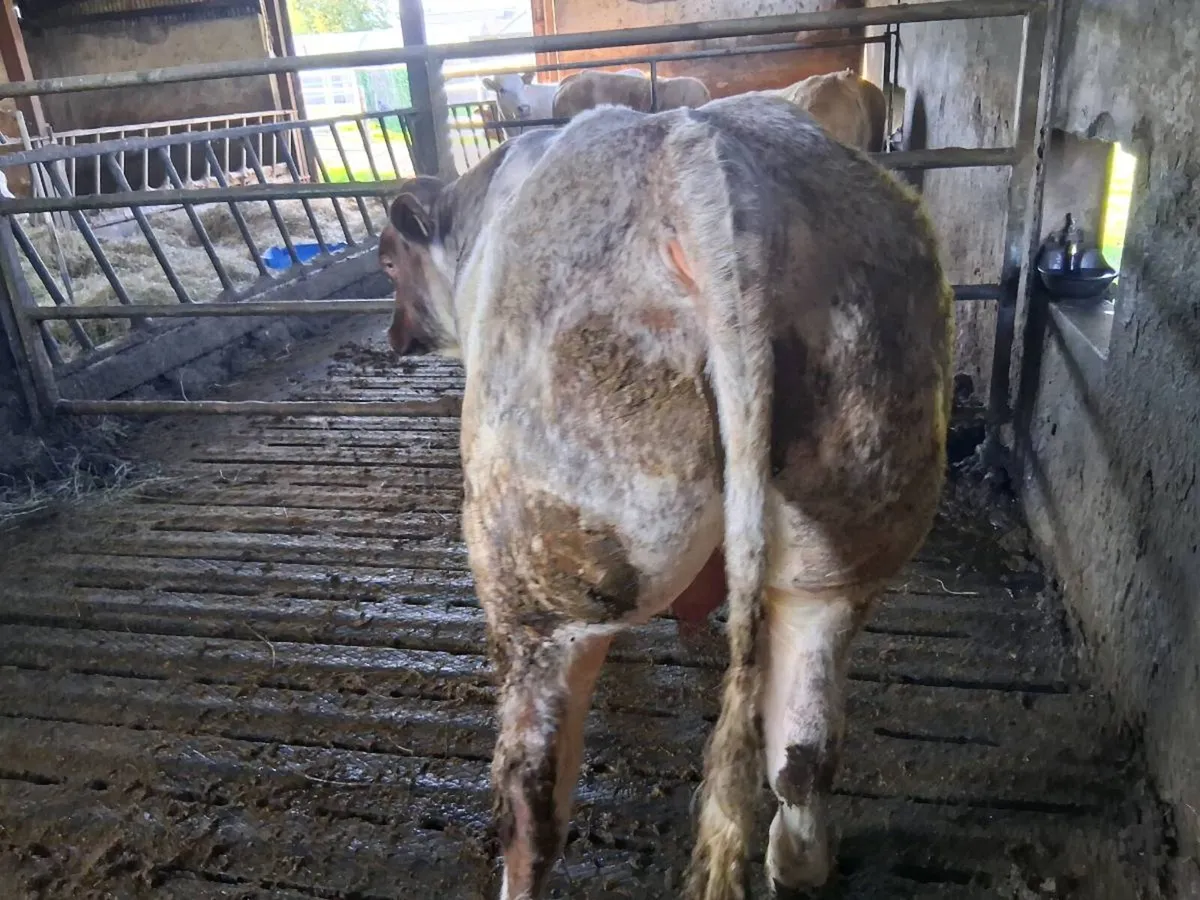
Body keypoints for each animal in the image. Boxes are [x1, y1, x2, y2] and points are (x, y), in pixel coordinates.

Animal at [381, 94, 953, 900]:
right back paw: (798, 864)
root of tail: (706, 162)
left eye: (387, 259)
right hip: (851, 522)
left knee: (531, 801)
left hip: (538, 572)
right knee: (804, 749)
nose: (393, 334)